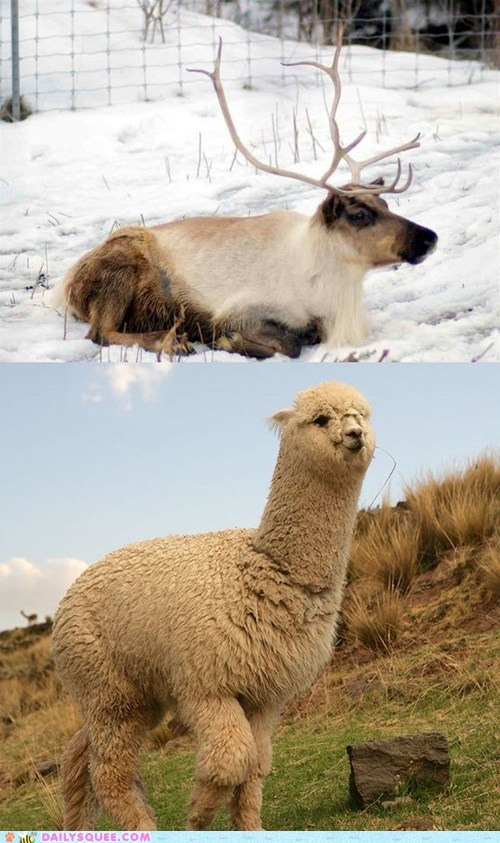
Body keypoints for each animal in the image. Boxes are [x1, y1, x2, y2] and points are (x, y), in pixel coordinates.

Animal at [54, 29, 437, 360]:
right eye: (359, 215)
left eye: (385, 202)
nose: (430, 237)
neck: (333, 291)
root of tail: (65, 285)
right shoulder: (238, 310)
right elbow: (289, 342)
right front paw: (229, 342)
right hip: (120, 270)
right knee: (101, 332)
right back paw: (174, 341)